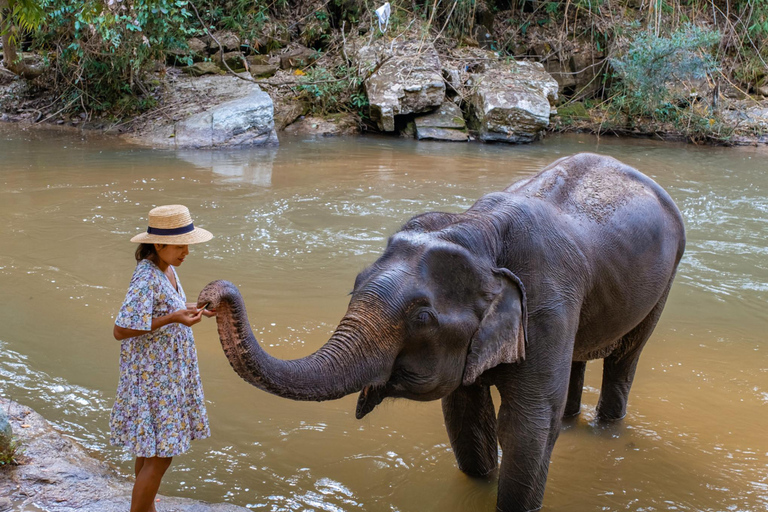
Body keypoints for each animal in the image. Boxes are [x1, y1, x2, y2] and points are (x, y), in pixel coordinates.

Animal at [198, 153, 684, 512]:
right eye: (355, 284)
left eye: (421, 317)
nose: (210, 295)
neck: (478, 230)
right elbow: (464, 415)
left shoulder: (548, 306)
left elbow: (528, 426)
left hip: (663, 284)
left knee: (625, 359)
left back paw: (607, 425)